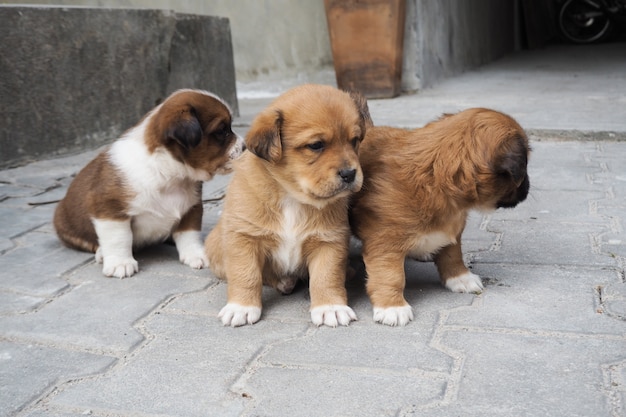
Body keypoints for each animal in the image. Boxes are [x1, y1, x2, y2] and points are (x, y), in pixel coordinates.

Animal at [52, 88, 243, 276]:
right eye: (222, 131)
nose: (244, 147)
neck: (168, 174)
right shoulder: (109, 209)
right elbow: (119, 238)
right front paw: (120, 262)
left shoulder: (191, 207)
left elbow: (189, 234)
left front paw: (196, 254)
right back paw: (101, 253)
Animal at [205, 83, 370, 324]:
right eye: (316, 145)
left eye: (355, 141)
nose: (350, 174)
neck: (292, 198)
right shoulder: (243, 238)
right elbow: (246, 274)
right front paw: (241, 307)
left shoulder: (329, 241)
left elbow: (326, 276)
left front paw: (330, 306)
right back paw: (284, 281)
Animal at [348, 107, 528, 324]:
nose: (527, 188)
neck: (434, 177)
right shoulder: (384, 243)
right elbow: (391, 276)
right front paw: (392, 306)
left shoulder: (452, 232)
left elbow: (452, 255)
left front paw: (460, 277)